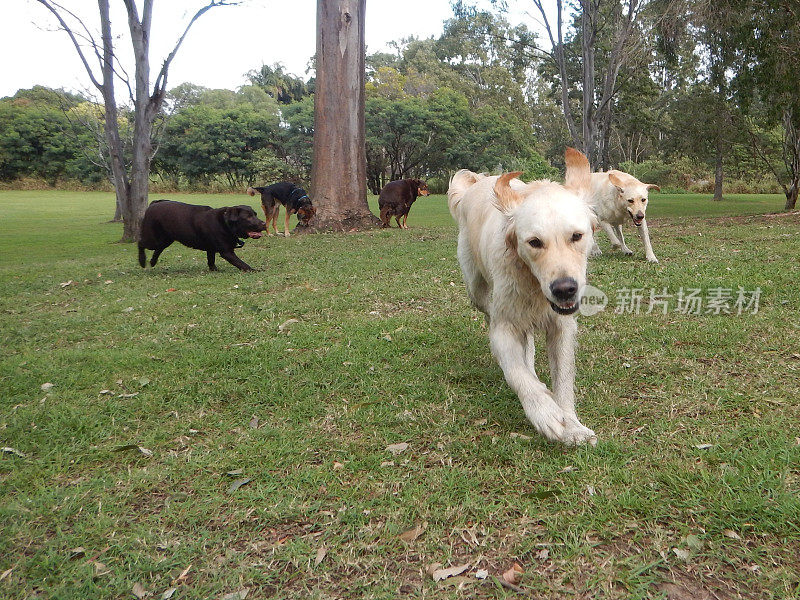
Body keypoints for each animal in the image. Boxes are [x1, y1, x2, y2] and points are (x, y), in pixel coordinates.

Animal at [136, 202, 264, 272]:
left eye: (255, 214)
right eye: (248, 217)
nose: (264, 223)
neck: (225, 223)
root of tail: (152, 205)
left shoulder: (211, 249)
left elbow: (211, 260)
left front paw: (214, 270)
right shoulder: (227, 252)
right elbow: (242, 264)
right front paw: (254, 270)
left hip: (165, 240)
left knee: (158, 249)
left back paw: (152, 262)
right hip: (153, 239)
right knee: (140, 243)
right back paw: (142, 261)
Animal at [450, 147, 600, 442]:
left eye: (577, 236)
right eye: (534, 242)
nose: (564, 288)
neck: (534, 285)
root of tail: (478, 181)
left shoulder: (562, 327)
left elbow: (563, 379)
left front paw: (572, 424)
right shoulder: (504, 327)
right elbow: (516, 373)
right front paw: (545, 413)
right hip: (476, 288)